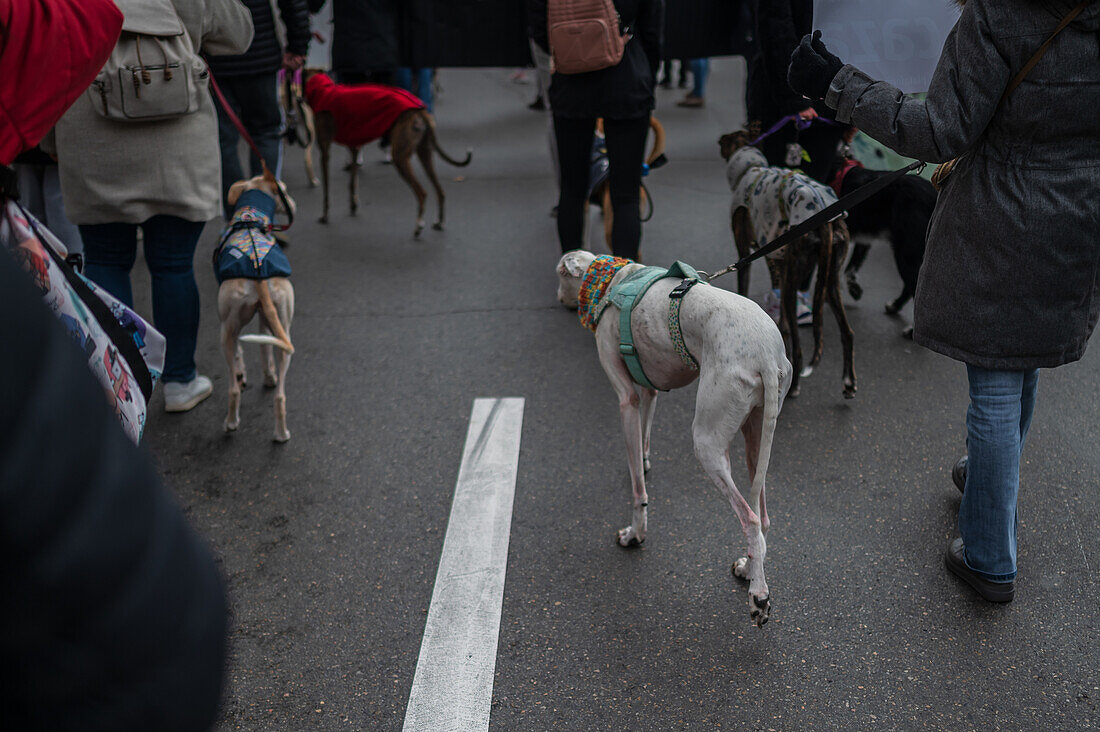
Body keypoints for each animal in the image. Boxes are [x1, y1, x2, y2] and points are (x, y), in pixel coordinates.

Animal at [303, 70, 470, 236]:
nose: (299, 99)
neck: (323, 90)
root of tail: (419, 110)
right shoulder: (354, 146)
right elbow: (353, 181)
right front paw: (353, 205)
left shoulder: (325, 151)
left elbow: (326, 189)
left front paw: (325, 215)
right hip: (425, 153)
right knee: (440, 191)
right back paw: (440, 222)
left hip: (400, 157)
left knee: (422, 193)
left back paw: (419, 225)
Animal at [831, 159, 937, 330]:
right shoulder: (863, 239)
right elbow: (852, 266)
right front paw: (854, 288)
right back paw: (894, 306)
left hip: (906, 253)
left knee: (914, 285)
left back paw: (910, 328)